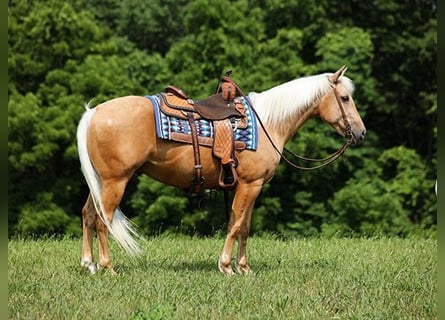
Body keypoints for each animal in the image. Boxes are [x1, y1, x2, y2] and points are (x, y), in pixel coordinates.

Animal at [76, 65, 364, 276]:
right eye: (345, 98)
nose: (361, 132)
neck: (269, 122)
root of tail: (93, 113)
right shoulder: (250, 184)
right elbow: (236, 225)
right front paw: (226, 266)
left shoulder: (250, 186)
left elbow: (244, 226)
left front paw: (244, 268)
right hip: (115, 182)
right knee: (102, 219)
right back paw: (107, 268)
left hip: (100, 183)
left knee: (88, 215)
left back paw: (88, 265)